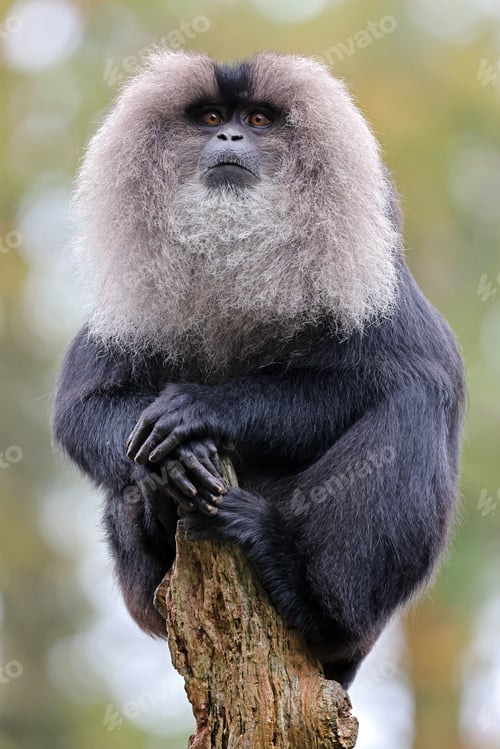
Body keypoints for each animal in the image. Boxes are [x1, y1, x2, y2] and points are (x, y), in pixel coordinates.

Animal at [53, 50, 465, 688]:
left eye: (258, 120)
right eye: (211, 117)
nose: (229, 136)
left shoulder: (376, 278)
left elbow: (410, 370)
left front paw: (203, 411)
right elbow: (83, 405)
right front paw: (174, 460)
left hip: (357, 626)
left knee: (417, 399)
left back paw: (302, 592)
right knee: (128, 485)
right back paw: (157, 499)